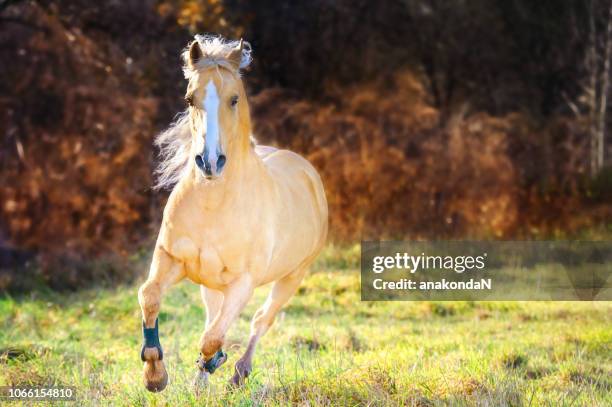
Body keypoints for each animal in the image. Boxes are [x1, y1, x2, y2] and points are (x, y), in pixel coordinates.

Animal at [139, 35, 330, 392]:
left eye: (234, 99)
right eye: (189, 98)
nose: (210, 162)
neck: (214, 205)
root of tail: (306, 169)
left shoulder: (243, 283)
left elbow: (212, 337)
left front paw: (213, 365)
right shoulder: (170, 258)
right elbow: (150, 297)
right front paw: (155, 375)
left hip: (292, 277)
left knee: (260, 320)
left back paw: (239, 372)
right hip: (211, 283)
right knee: (213, 315)